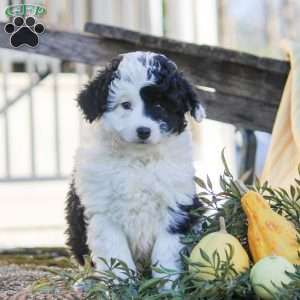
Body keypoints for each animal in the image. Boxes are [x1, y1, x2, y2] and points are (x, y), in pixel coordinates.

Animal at [66, 51, 206, 286]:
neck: (139, 159)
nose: (143, 131)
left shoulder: (176, 207)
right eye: (125, 105)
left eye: (159, 107)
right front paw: (122, 286)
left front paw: (167, 286)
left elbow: (164, 253)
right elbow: (116, 255)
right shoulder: (102, 212)